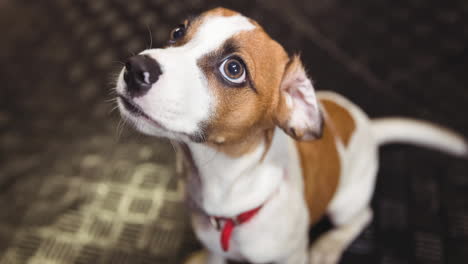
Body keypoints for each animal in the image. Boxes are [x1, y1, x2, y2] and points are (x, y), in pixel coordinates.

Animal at [114, 7, 468, 262]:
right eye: (178, 32)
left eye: (234, 69)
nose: (135, 68)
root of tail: (365, 123)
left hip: (345, 202)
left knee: (361, 216)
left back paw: (328, 245)